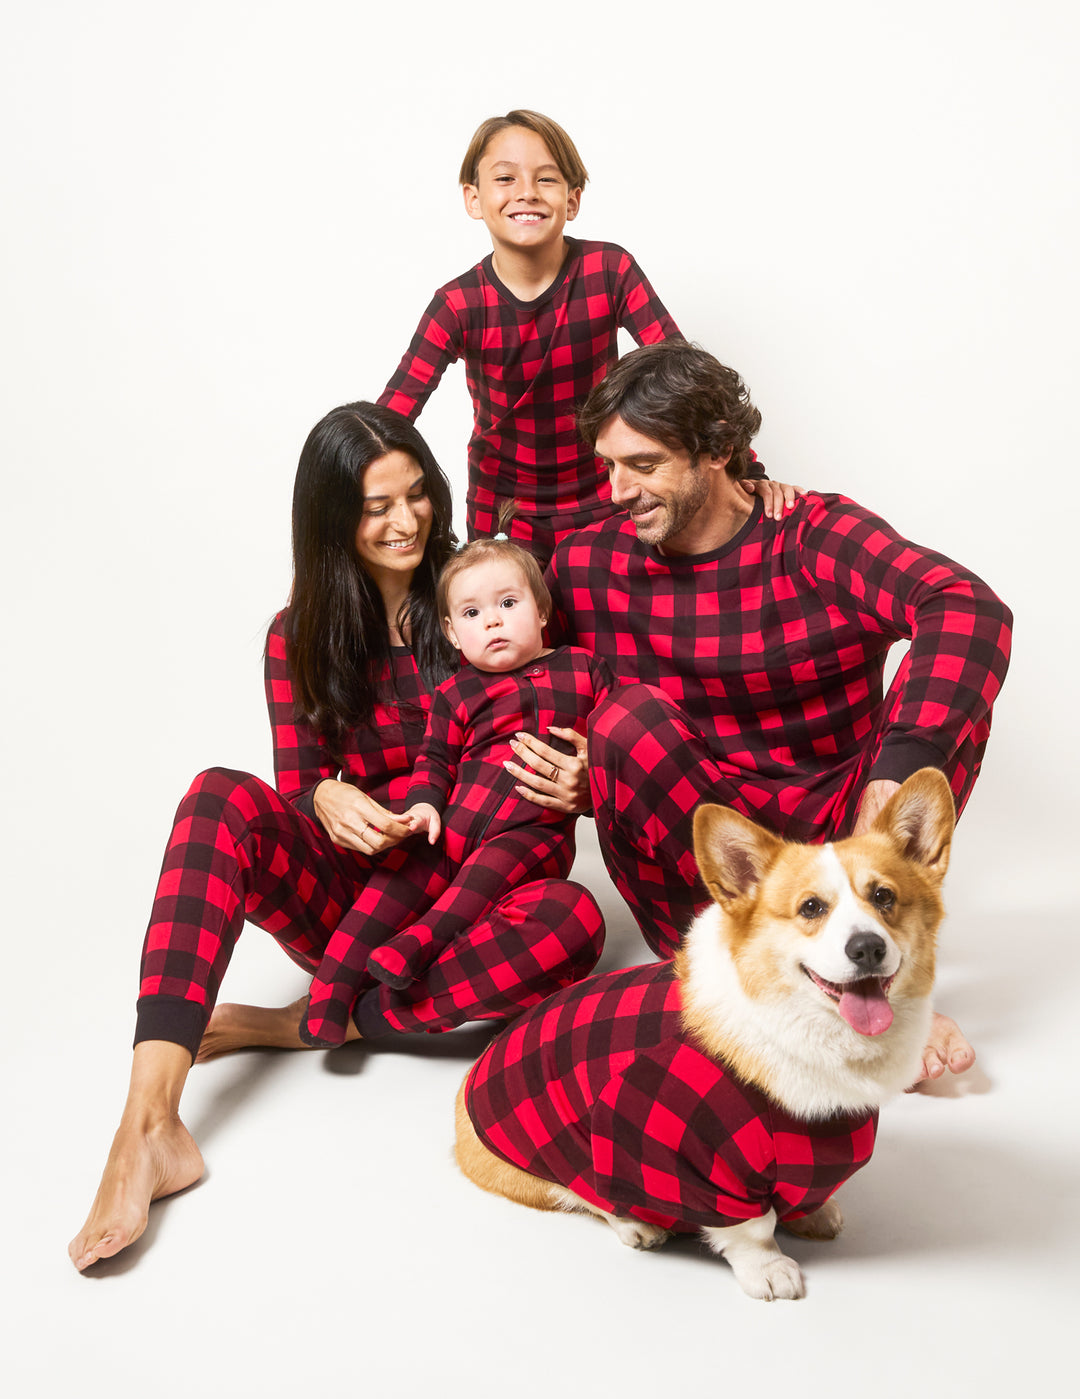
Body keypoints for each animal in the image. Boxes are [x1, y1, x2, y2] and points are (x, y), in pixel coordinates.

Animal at [456, 772, 951, 1292]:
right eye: (811, 907)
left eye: (884, 897)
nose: (868, 948)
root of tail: (466, 1086)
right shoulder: (686, 1151)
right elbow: (750, 1227)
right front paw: (768, 1270)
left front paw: (812, 1216)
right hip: (563, 1149)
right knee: (584, 1191)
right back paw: (636, 1223)